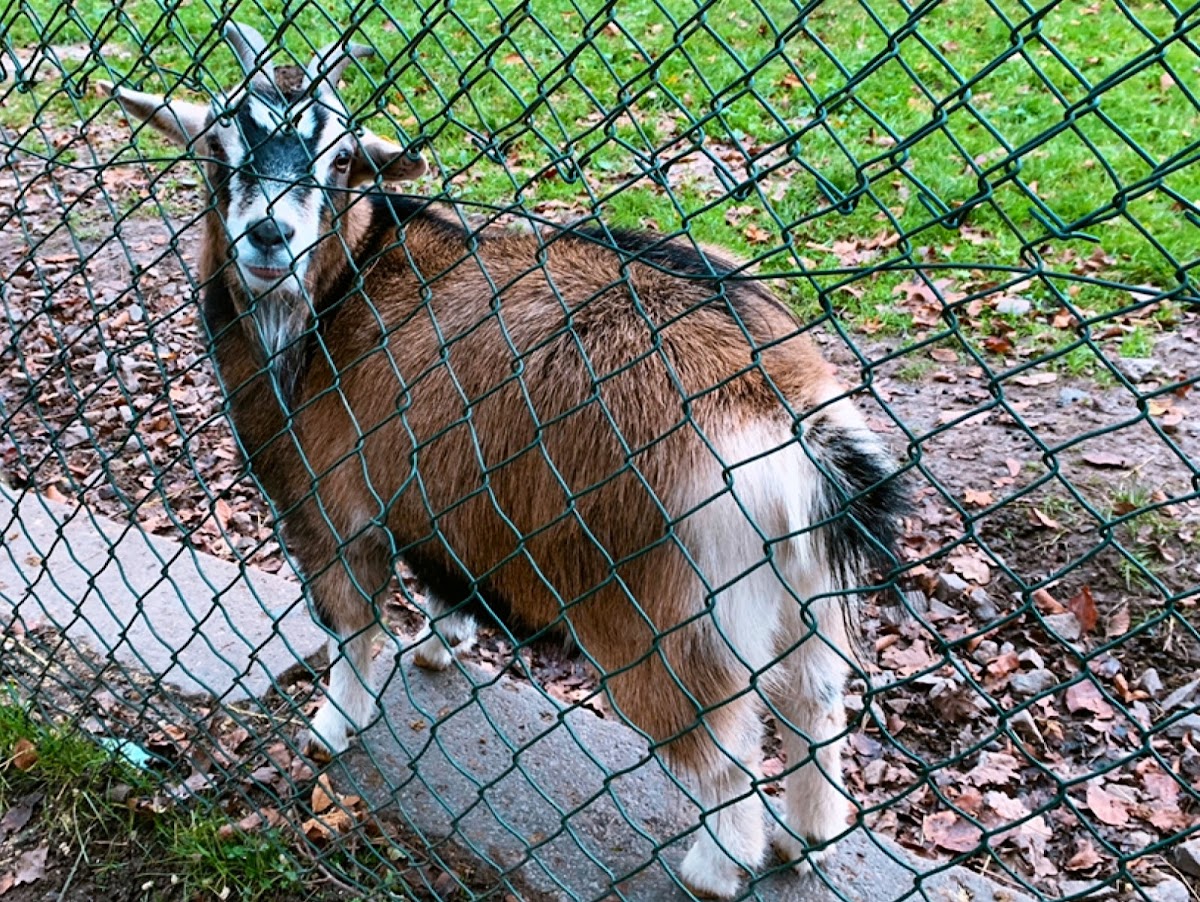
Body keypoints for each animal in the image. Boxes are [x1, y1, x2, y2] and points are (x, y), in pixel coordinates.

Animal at [102, 21, 906, 898]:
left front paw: (333, 727)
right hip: (806, 593)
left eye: (340, 159)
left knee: (719, 748)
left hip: (664, 615)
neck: (339, 291)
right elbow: (442, 585)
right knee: (815, 701)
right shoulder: (435, 501)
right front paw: (440, 647)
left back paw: (713, 870)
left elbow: (351, 625)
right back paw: (809, 838)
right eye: (220, 144)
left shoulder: (328, 507)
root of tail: (780, 405)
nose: (269, 237)